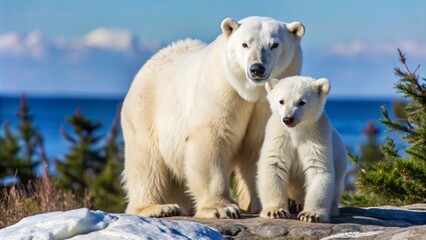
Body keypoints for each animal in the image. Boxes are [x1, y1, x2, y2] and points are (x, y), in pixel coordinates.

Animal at [121, 16, 304, 219]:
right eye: (245, 44)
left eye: (274, 44)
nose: (257, 69)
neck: (251, 93)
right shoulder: (221, 89)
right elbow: (211, 136)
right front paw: (221, 208)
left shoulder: (267, 105)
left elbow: (260, 145)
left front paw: (278, 204)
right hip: (145, 111)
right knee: (147, 161)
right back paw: (157, 207)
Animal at [258, 76, 348, 222]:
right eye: (281, 101)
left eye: (302, 102)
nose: (288, 119)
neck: (296, 131)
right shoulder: (278, 134)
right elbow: (274, 164)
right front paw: (275, 211)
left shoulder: (316, 134)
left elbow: (318, 168)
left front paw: (310, 214)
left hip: (340, 161)